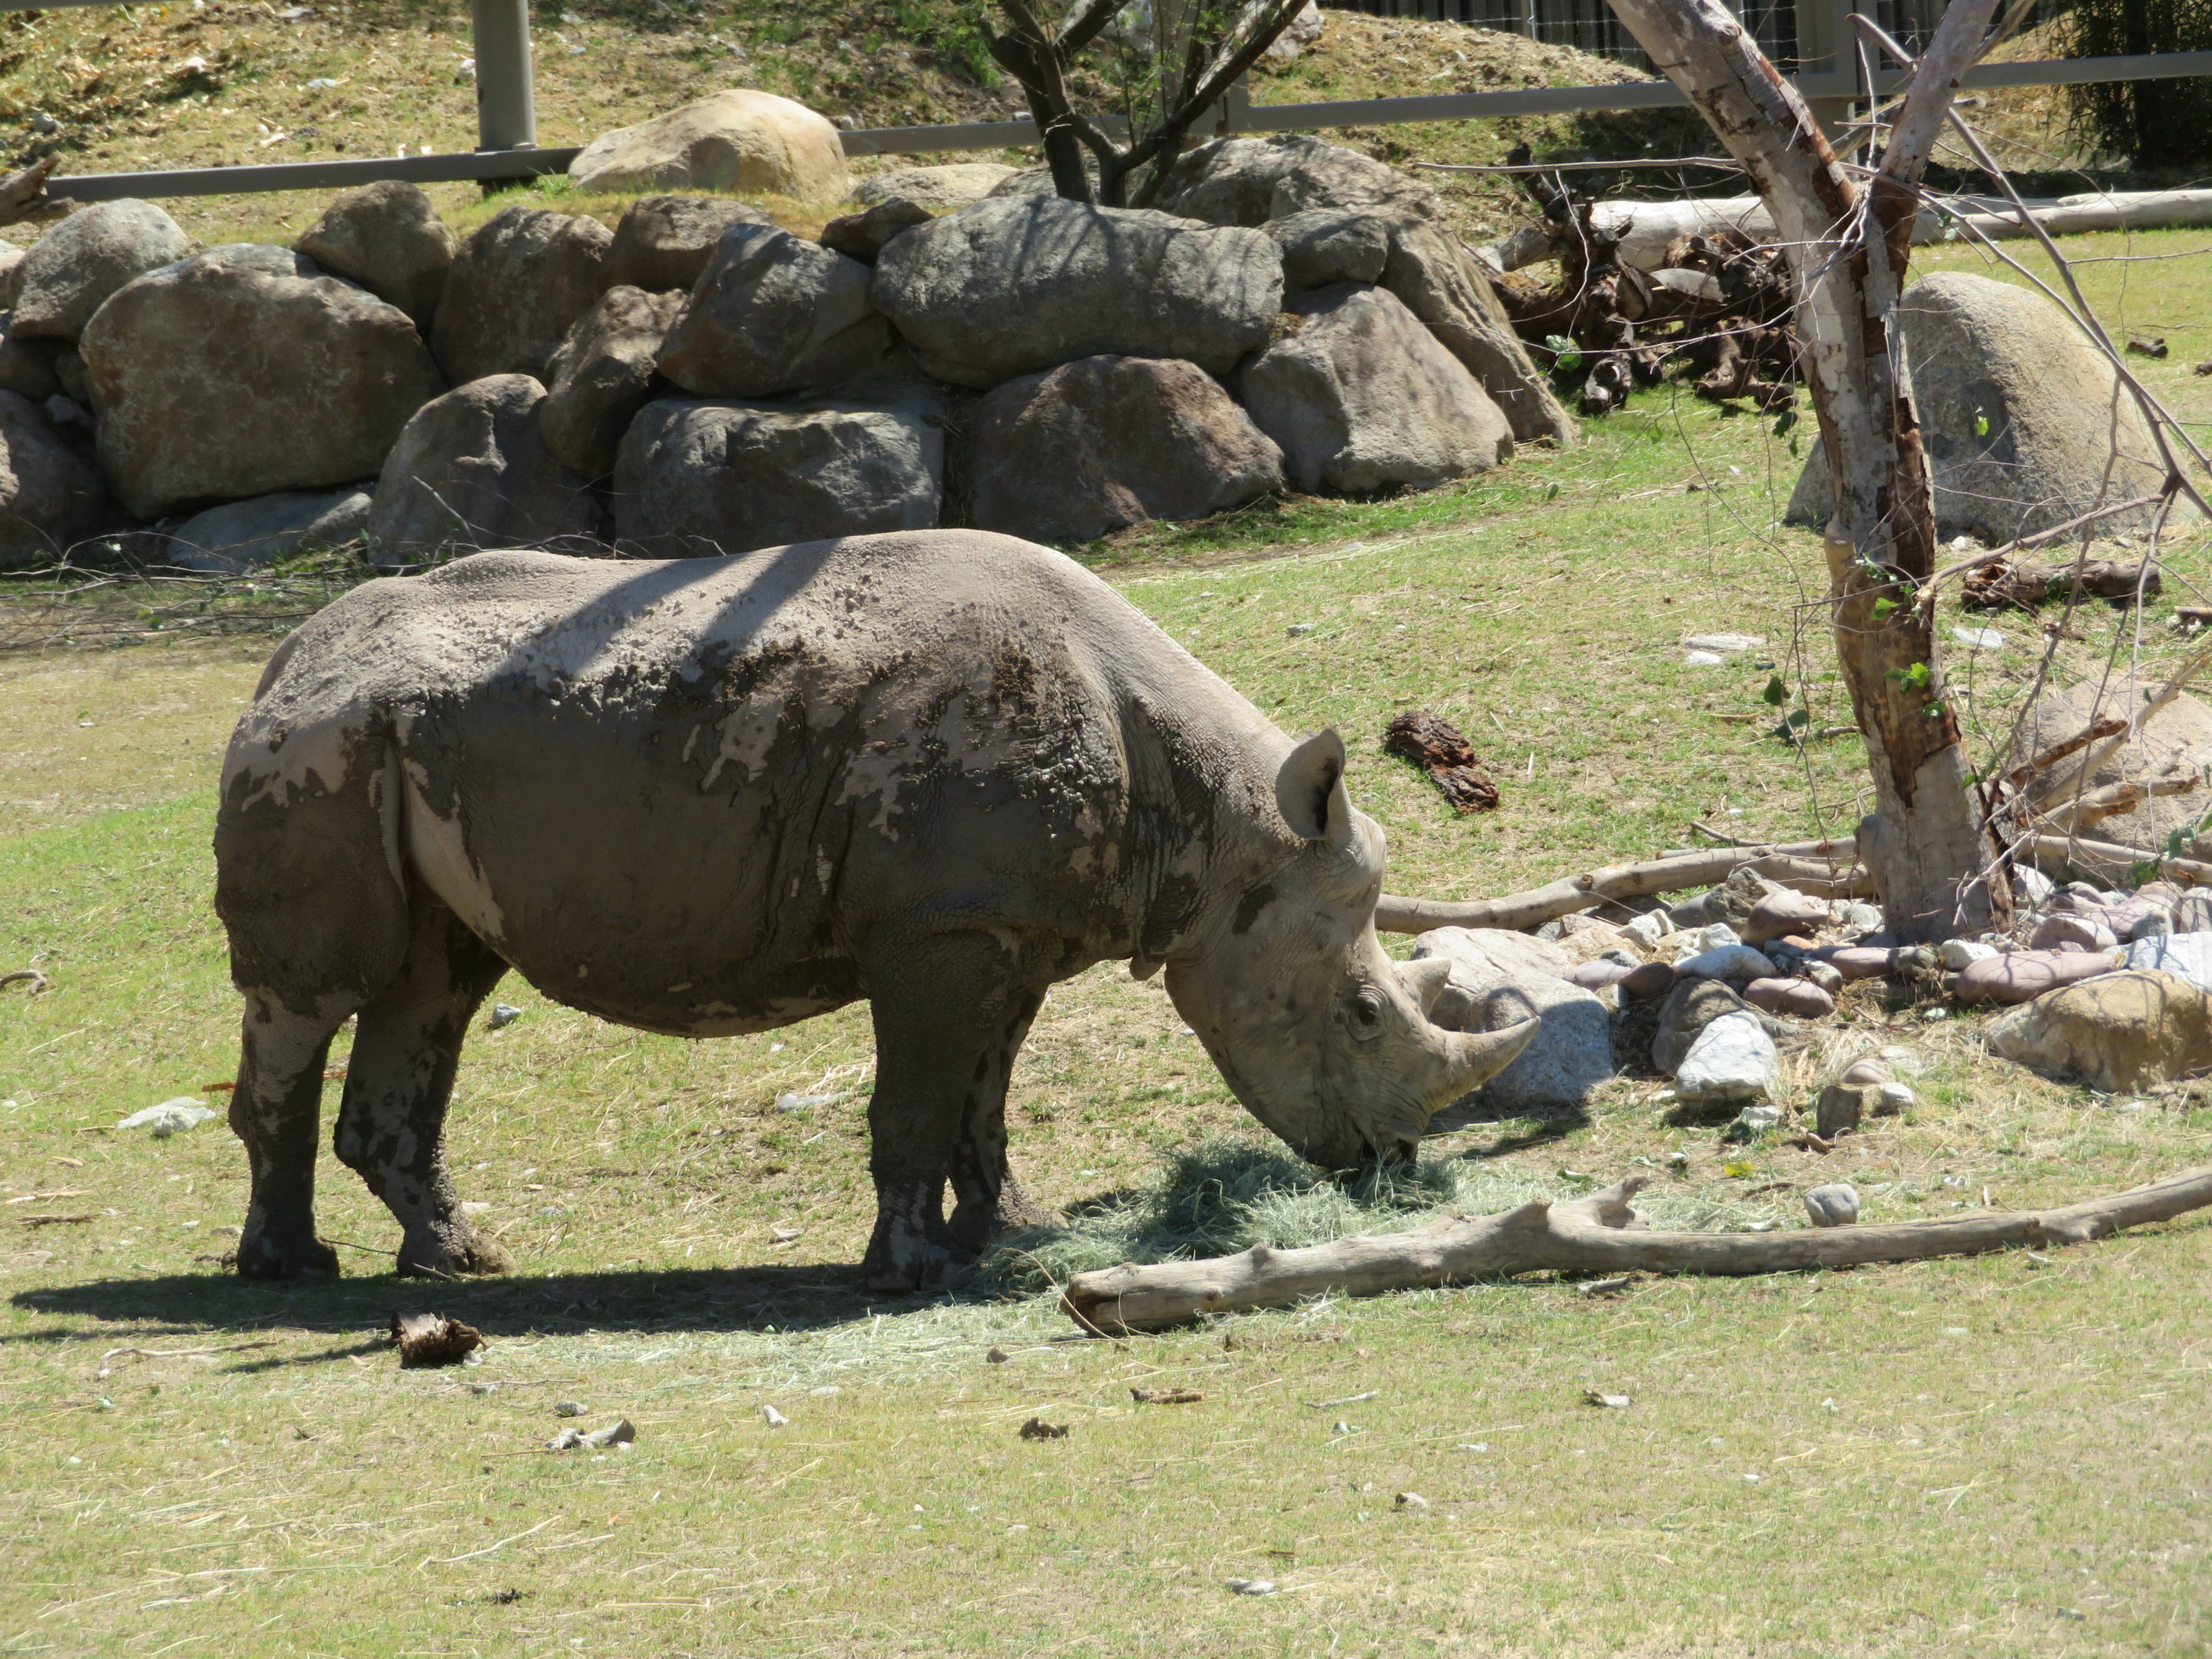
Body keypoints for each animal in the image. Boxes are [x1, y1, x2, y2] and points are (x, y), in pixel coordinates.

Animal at [213, 530, 1535, 1291]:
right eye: (1362, 1014)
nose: (1391, 1160)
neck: (1221, 826)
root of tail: (283, 658)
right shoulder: (936, 930)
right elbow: (916, 1105)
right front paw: (903, 1272)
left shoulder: (1004, 927)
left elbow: (980, 1101)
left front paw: (1009, 1238)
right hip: (319, 747)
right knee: (314, 994)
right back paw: (291, 1272)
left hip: (391, 744)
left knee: (432, 983)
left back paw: (459, 1263)